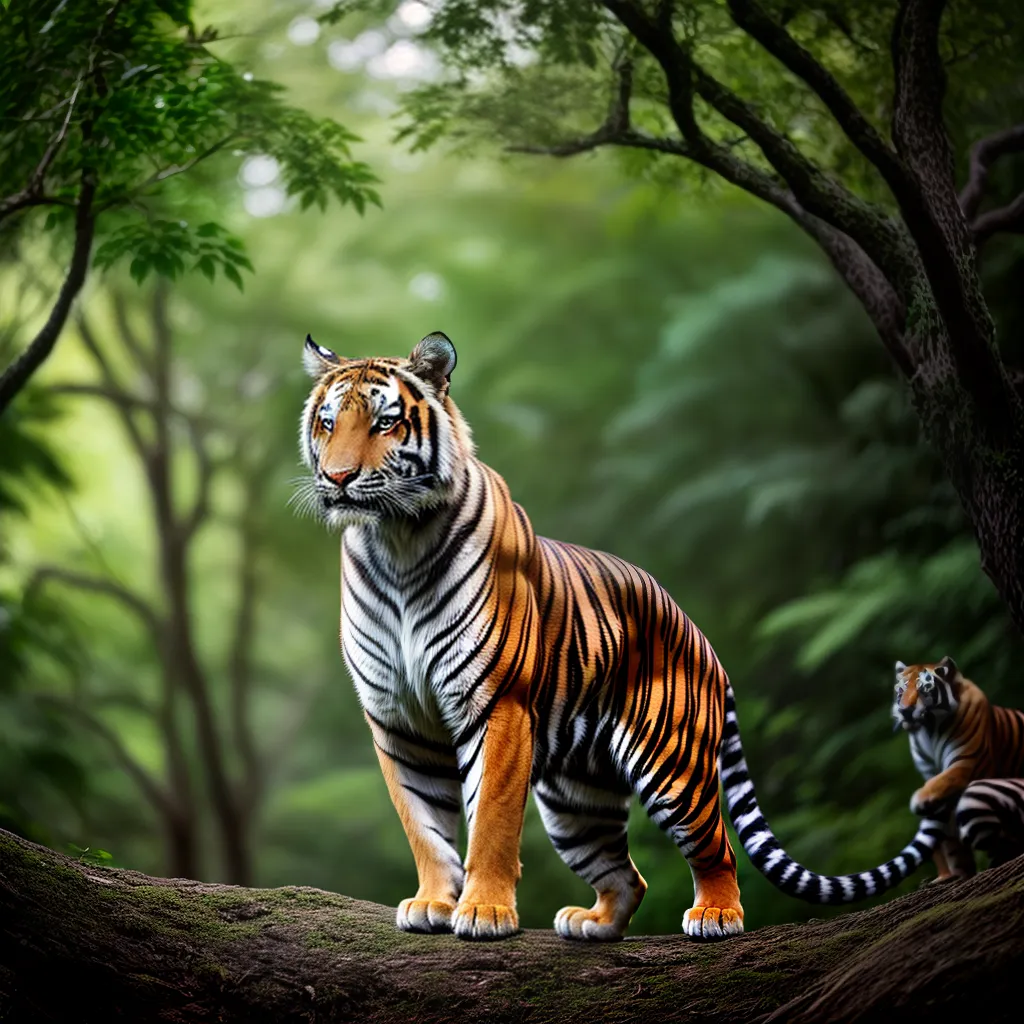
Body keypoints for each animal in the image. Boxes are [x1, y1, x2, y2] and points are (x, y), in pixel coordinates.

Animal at [298, 330, 944, 942]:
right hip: (575, 796)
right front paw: (433, 903)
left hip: (673, 765)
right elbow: (423, 823)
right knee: (627, 874)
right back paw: (594, 924)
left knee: (718, 848)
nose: (338, 477)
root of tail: (705, 642)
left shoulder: (497, 703)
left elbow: (492, 823)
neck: (396, 543)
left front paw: (483, 911)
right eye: (328, 422)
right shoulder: (398, 718)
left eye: (385, 422)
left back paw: (716, 915)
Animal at [894, 657, 1024, 879]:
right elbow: (949, 840)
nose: (905, 710)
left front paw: (918, 800)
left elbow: (942, 781)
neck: (928, 732)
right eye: (900, 691)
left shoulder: (965, 762)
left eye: (923, 689)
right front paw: (955, 872)